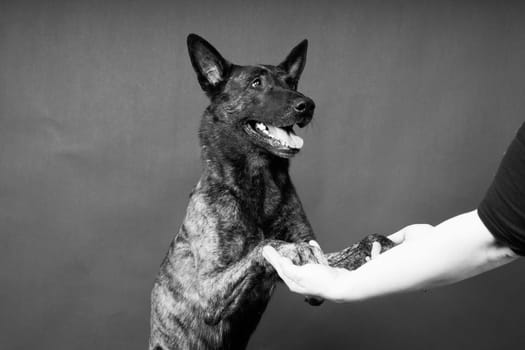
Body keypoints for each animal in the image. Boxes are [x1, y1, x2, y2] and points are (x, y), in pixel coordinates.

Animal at [149, 33, 390, 350]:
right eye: (256, 83)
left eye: (292, 83)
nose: (307, 105)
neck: (260, 183)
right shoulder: (208, 291)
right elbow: (267, 244)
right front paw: (291, 249)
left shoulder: (317, 263)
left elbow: (336, 254)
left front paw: (375, 243)